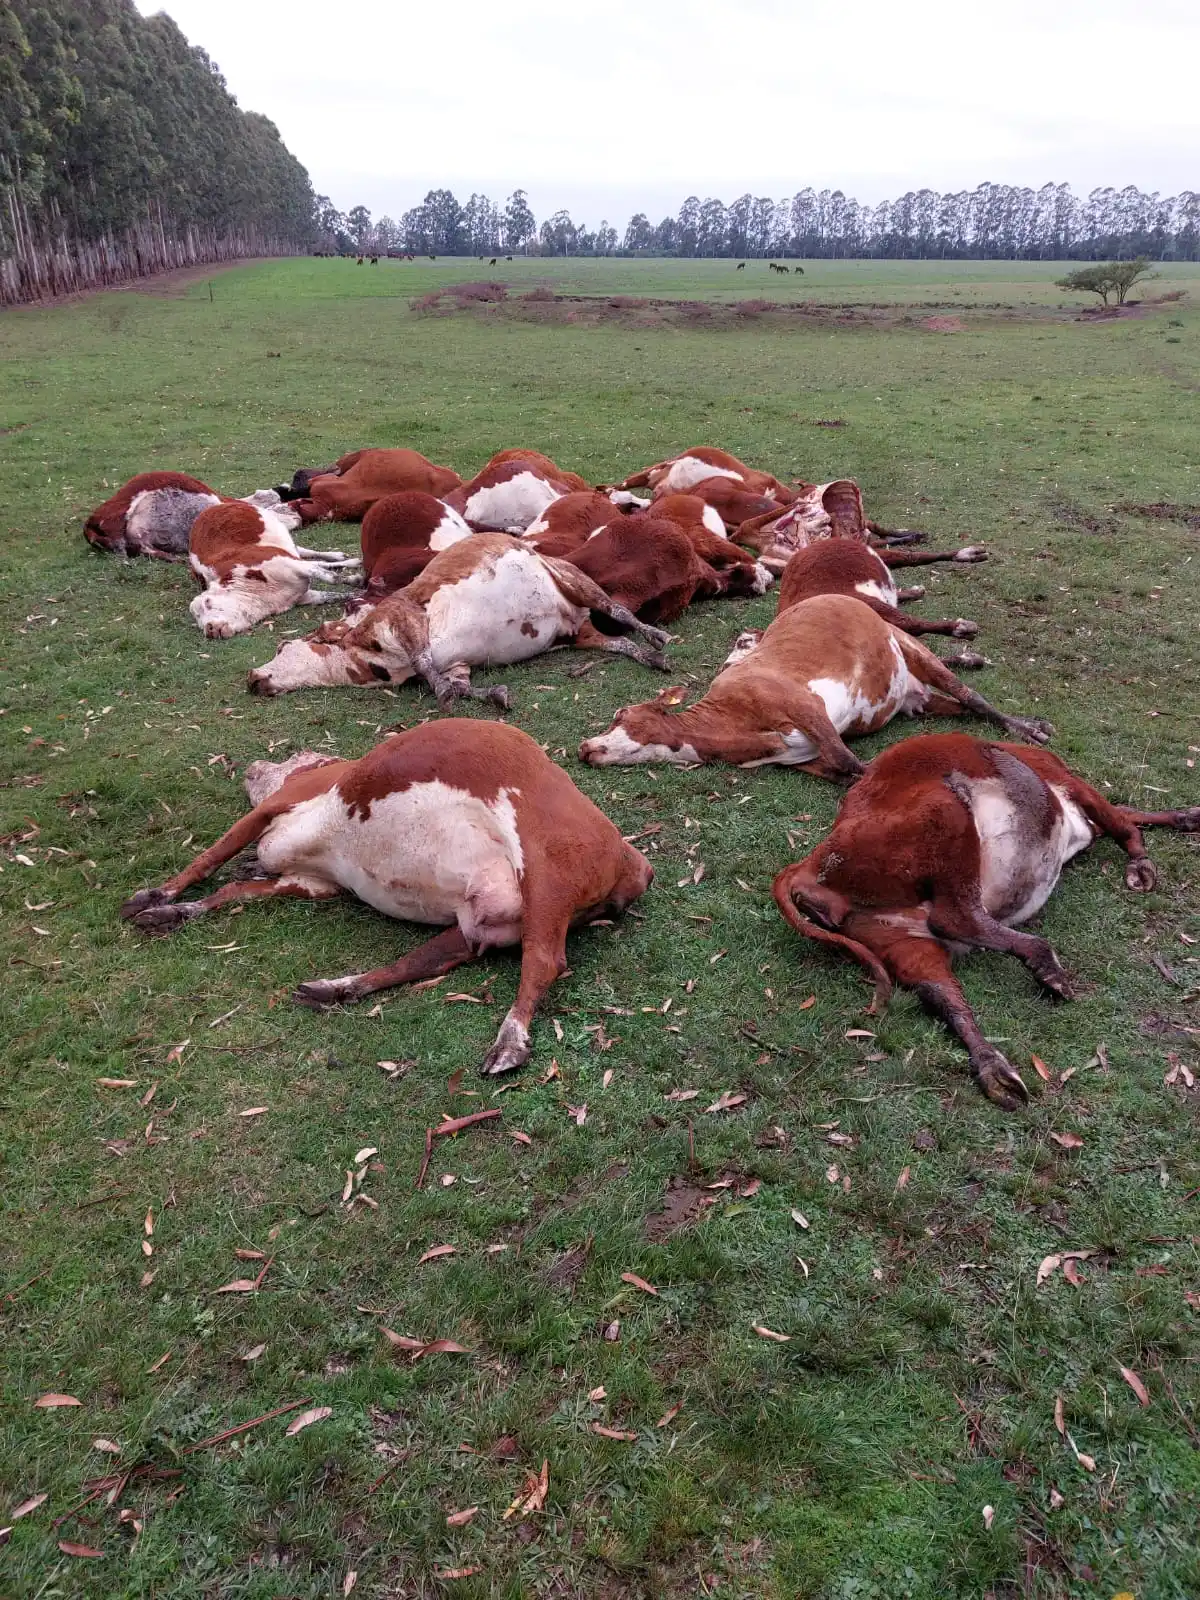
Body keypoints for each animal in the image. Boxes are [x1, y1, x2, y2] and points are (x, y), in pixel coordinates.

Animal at [120, 722, 654, 1078]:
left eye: (292, 757)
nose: (252, 766)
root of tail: (635, 860)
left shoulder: (282, 802)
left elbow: (210, 856)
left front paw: (156, 895)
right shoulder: (315, 882)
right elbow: (234, 888)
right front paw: (172, 910)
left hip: (545, 870)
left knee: (544, 960)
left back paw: (510, 1040)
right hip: (480, 921)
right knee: (425, 960)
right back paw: (338, 988)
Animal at [188, 501, 361, 638]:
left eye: (208, 603)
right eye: (198, 619)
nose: (209, 629)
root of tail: (213, 507)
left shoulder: (287, 562)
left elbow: (333, 578)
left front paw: (357, 581)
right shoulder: (303, 595)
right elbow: (332, 594)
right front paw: (358, 595)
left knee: (312, 555)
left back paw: (342, 557)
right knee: (313, 559)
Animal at [245, 533, 671, 702]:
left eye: (283, 646)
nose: (252, 677)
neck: (362, 658)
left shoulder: (401, 615)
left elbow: (423, 660)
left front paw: (447, 692)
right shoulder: (458, 663)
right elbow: (459, 683)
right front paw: (491, 694)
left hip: (572, 580)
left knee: (617, 610)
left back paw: (656, 637)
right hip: (579, 633)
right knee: (617, 641)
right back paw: (650, 656)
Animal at [578, 594, 1051, 778]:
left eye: (621, 714)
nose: (584, 746)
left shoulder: (804, 706)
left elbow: (852, 764)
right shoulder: (802, 758)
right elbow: (842, 767)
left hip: (907, 644)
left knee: (972, 695)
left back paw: (1026, 728)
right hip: (915, 700)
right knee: (959, 705)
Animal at [771, 732, 1200, 1109]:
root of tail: (807, 865)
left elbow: (1127, 814)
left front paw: (1186, 818)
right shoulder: (1075, 786)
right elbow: (1123, 821)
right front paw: (1142, 864)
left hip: (898, 935)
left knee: (938, 990)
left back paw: (994, 1069)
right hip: (946, 809)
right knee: (954, 917)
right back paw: (1046, 966)